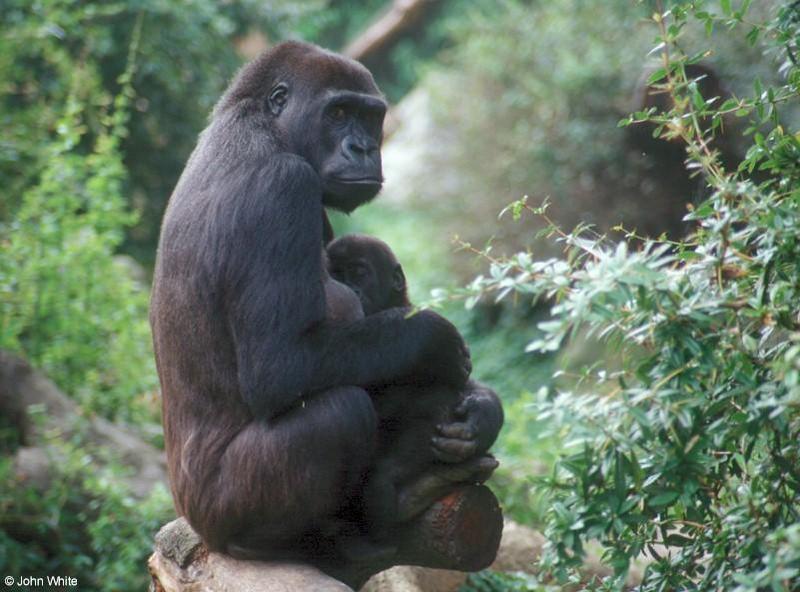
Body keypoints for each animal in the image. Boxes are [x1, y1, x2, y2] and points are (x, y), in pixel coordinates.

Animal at [148, 42, 476, 564]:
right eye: (338, 113)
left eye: (369, 117)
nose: (364, 148)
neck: (260, 125)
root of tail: (196, 525)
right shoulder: (282, 188)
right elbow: (281, 367)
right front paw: (433, 340)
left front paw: (479, 414)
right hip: (218, 512)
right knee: (341, 411)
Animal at [324, 235, 500, 536]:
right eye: (335, 275)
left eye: (358, 273)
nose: (350, 291)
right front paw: (431, 337)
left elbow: (459, 382)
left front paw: (483, 416)